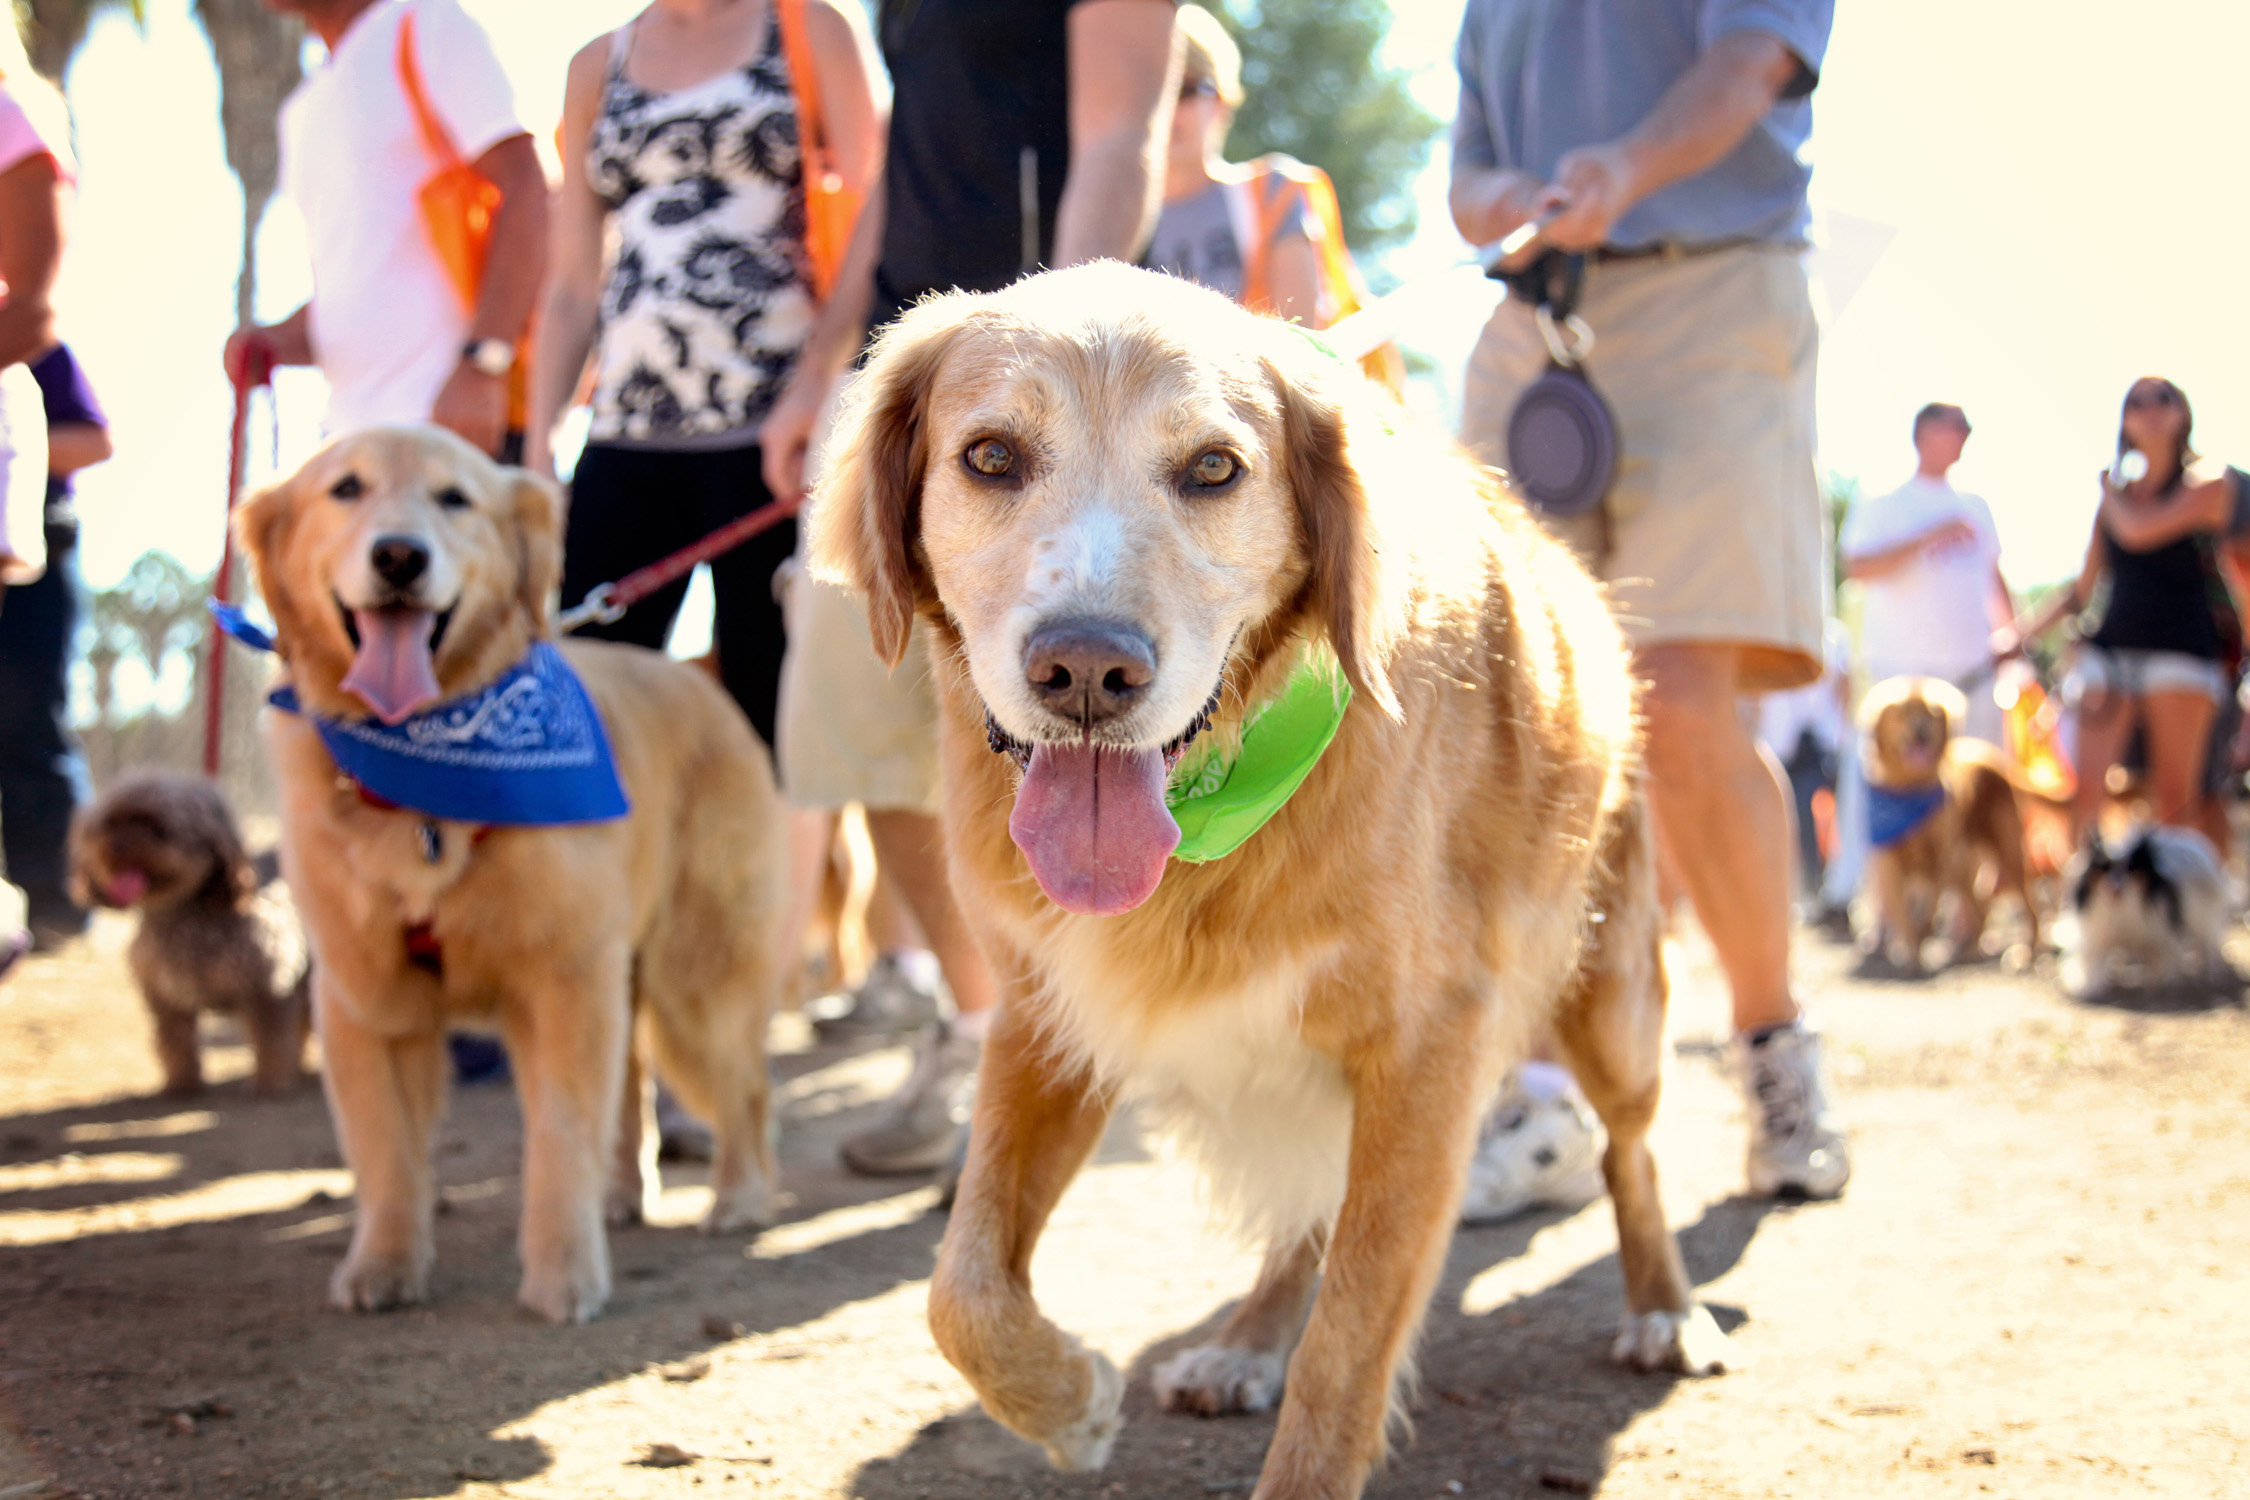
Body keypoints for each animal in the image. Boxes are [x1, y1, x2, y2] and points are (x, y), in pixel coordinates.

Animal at [70, 769, 312, 1097]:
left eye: (158, 827)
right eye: (111, 823)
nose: (118, 847)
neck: (183, 916)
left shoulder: (267, 990)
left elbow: (271, 1039)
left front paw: (269, 1082)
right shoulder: (166, 1000)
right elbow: (175, 1043)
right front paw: (182, 1083)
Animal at [1863, 679, 2043, 976]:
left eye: (1931, 712)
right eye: (1901, 711)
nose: (1921, 733)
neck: (1909, 787)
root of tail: (1995, 758)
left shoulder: (1939, 860)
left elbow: (1926, 913)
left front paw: (1918, 947)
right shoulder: (1889, 862)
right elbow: (1902, 914)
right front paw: (1909, 955)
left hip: (2006, 853)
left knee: (2030, 908)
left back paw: (2024, 955)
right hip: (1964, 865)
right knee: (1980, 908)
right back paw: (1968, 951)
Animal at [2070, 823, 2232, 998]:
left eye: (2131, 869)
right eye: (2104, 867)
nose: (2116, 889)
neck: (2123, 908)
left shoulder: (2159, 934)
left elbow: (2161, 959)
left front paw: (2160, 984)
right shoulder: (2097, 935)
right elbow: (2093, 962)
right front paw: (2090, 988)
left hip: (2202, 921)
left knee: (2208, 947)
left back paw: (2212, 974)